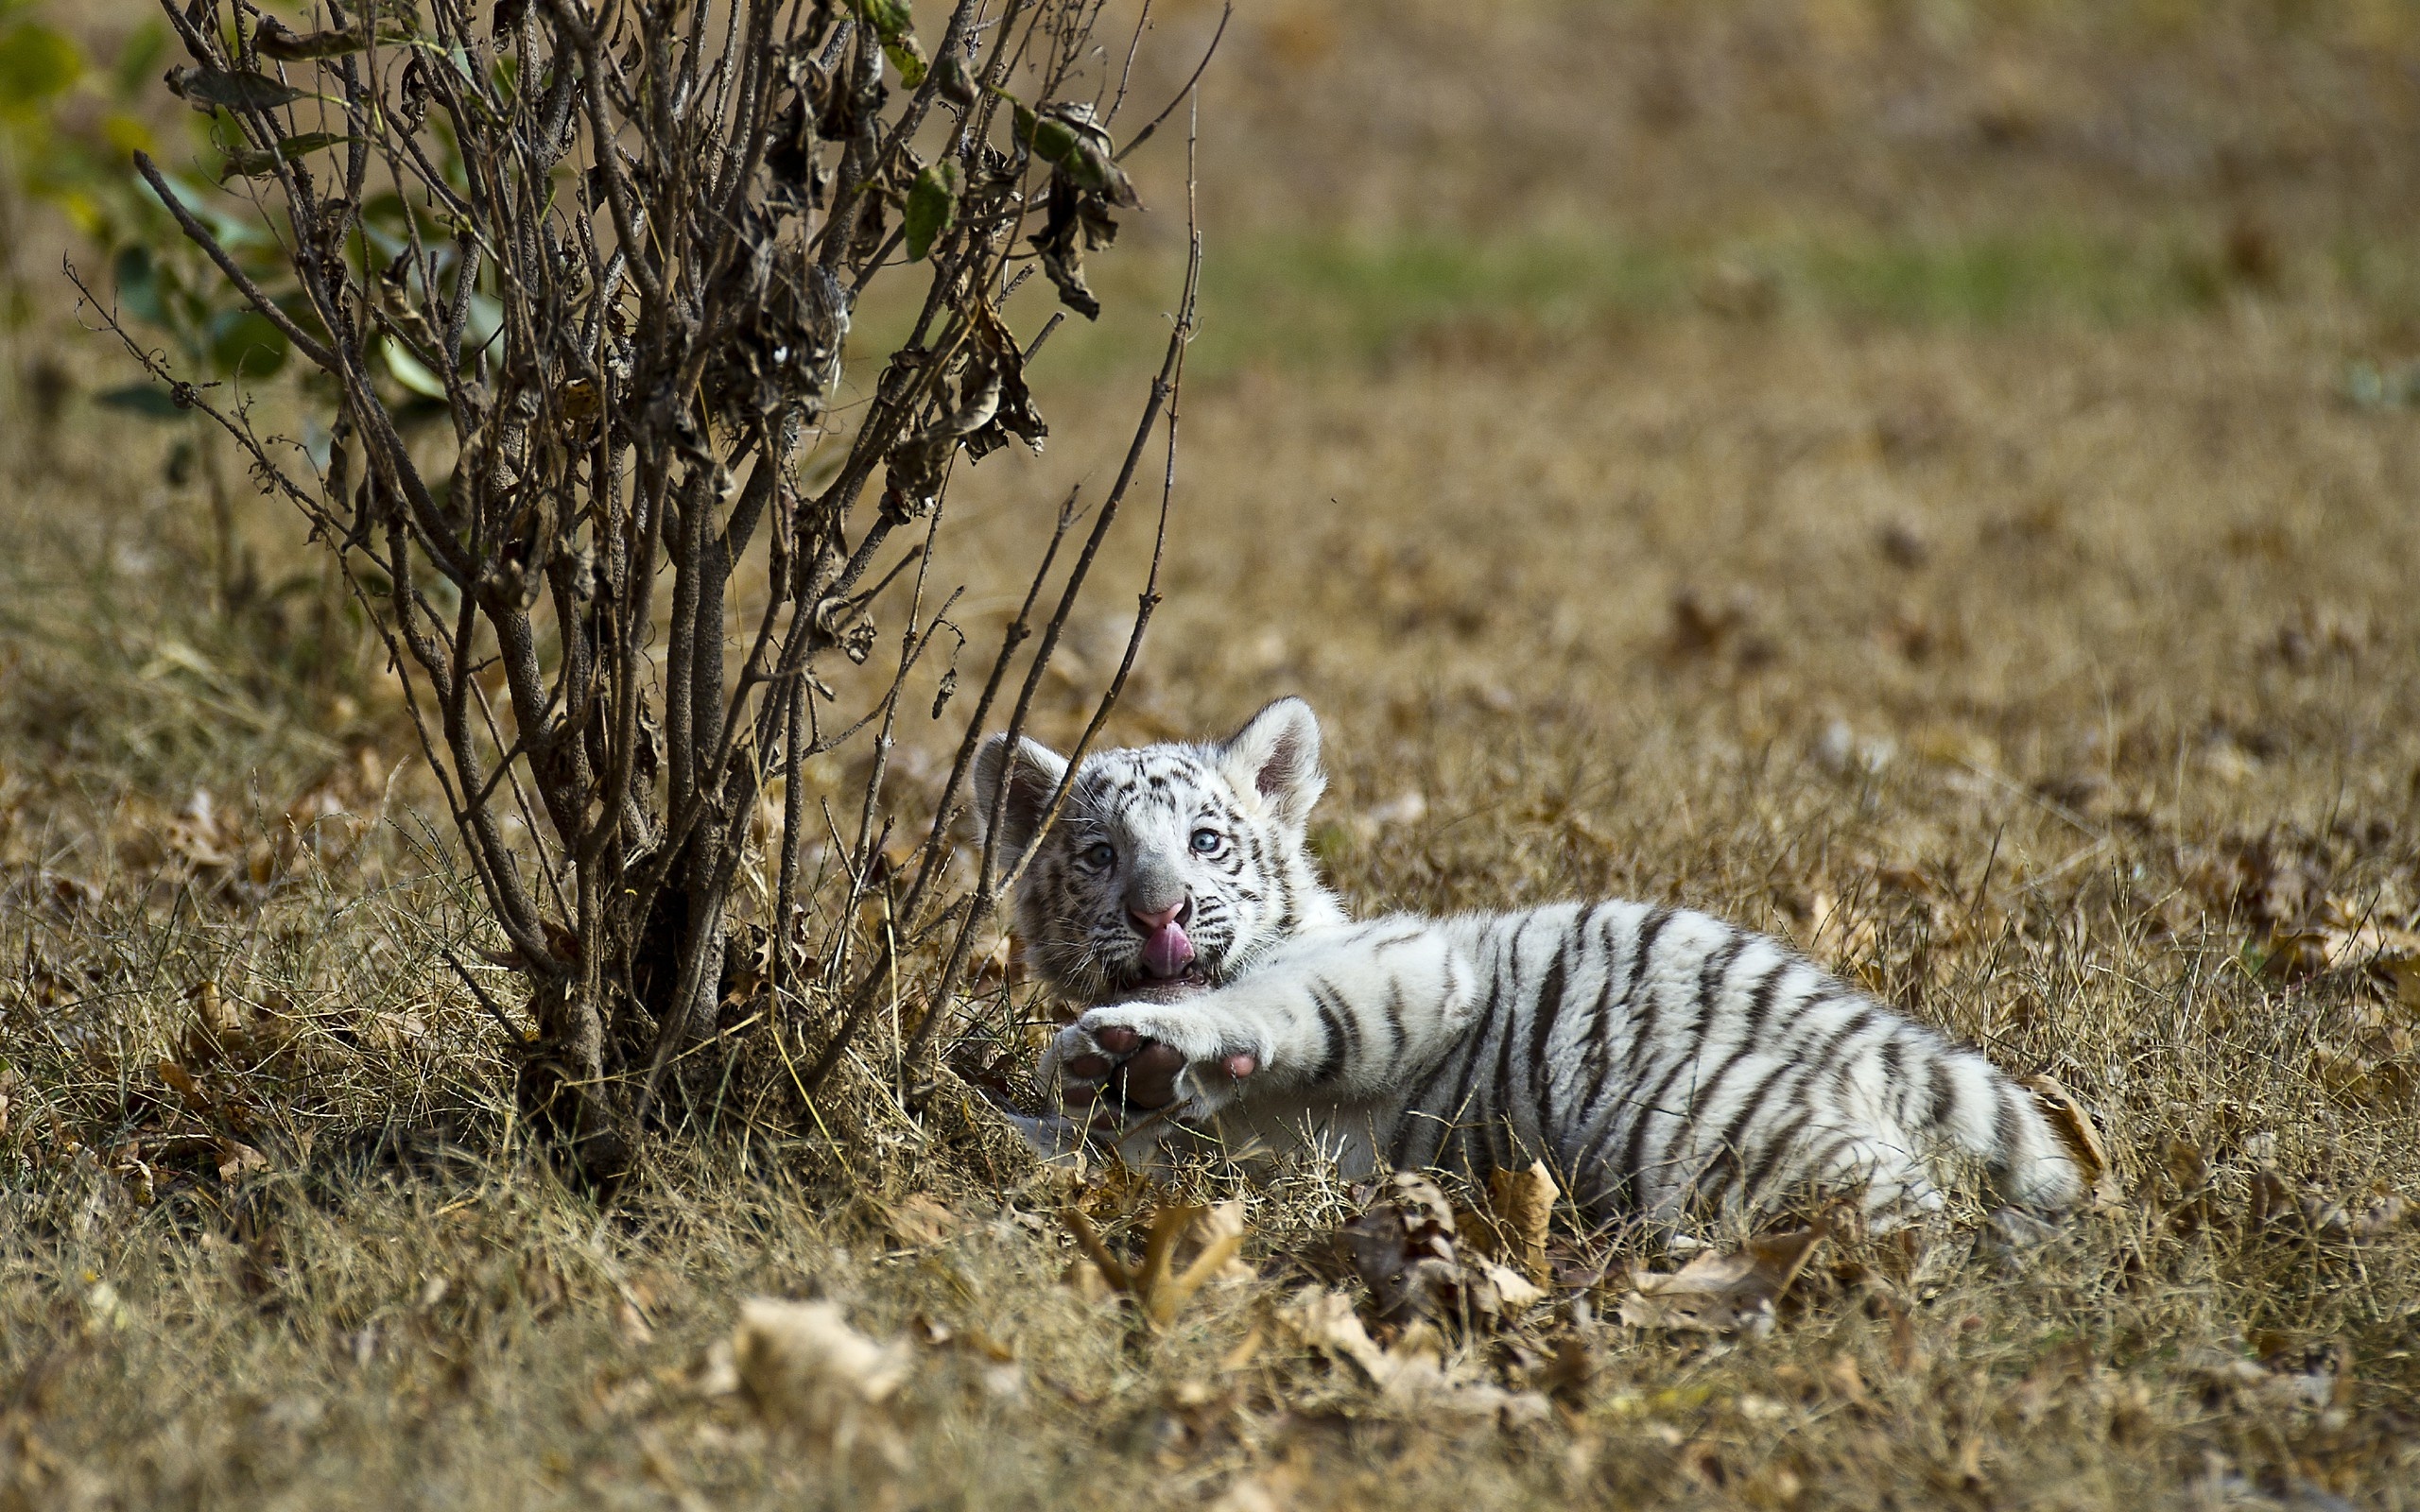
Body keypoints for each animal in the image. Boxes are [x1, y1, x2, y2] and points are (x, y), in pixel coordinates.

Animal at [971, 697, 2085, 1231]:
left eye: (1205, 842)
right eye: (1099, 855)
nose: (1158, 912)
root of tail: (1863, 1027)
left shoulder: (1406, 964)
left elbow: (1281, 1004)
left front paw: (1133, 1046)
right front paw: (1057, 1104)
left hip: (1712, 1123)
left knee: (1905, 1214)